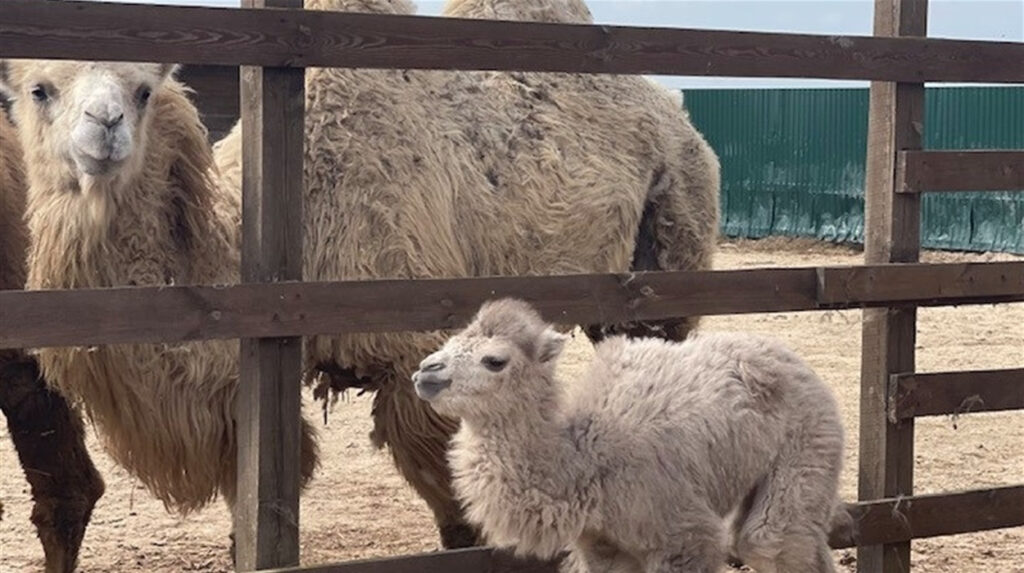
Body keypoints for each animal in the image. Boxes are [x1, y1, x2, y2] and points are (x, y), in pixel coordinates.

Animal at [411, 300, 851, 573]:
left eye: (494, 360)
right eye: (449, 343)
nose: (425, 372)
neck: (584, 462)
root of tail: (798, 365)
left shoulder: (685, 536)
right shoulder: (603, 548)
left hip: (806, 450)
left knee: (771, 541)